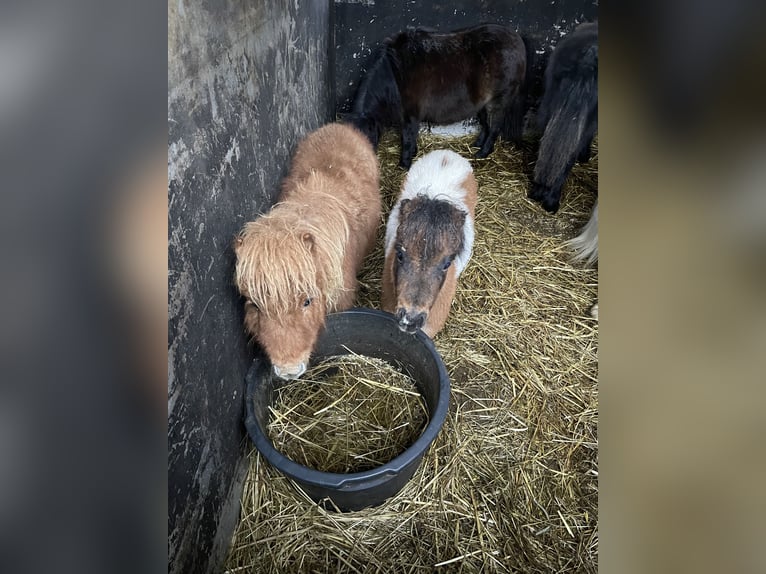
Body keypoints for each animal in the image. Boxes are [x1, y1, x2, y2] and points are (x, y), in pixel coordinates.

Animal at [350, 23, 536, 170]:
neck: (396, 75)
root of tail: (517, 39)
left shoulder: (410, 116)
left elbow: (407, 139)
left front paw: (405, 164)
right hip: (484, 104)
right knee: (486, 126)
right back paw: (476, 145)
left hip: (497, 103)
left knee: (494, 128)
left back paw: (482, 153)